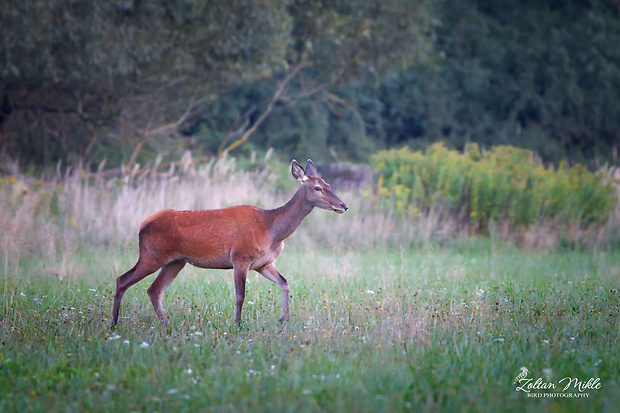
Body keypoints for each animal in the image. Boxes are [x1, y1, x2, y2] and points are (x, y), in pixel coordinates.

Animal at [111, 159, 348, 326]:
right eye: (317, 188)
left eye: (328, 184)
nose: (343, 205)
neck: (271, 230)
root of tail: (142, 225)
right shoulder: (240, 257)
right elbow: (240, 296)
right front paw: (237, 324)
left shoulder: (264, 263)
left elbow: (285, 283)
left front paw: (284, 319)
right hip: (151, 255)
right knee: (122, 279)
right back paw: (114, 323)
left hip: (175, 262)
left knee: (154, 290)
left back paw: (165, 325)